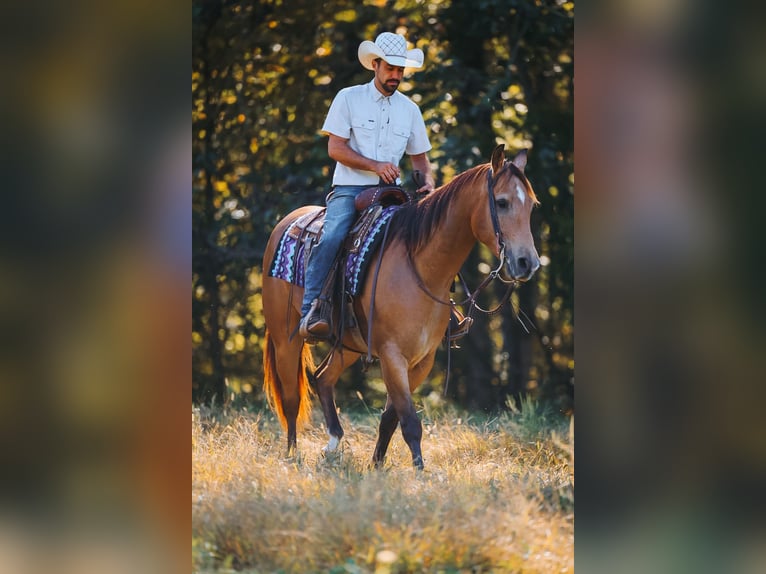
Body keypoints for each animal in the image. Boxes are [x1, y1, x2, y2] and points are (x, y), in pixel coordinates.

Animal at [261, 144, 540, 469]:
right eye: (502, 202)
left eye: (531, 206)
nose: (528, 263)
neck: (421, 267)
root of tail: (285, 223)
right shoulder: (392, 355)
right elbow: (409, 421)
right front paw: (419, 471)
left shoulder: (422, 360)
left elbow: (390, 419)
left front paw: (377, 465)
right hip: (286, 340)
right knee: (291, 399)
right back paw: (291, 454)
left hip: (349, 343)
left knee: (322, 377)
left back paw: (332, 443)